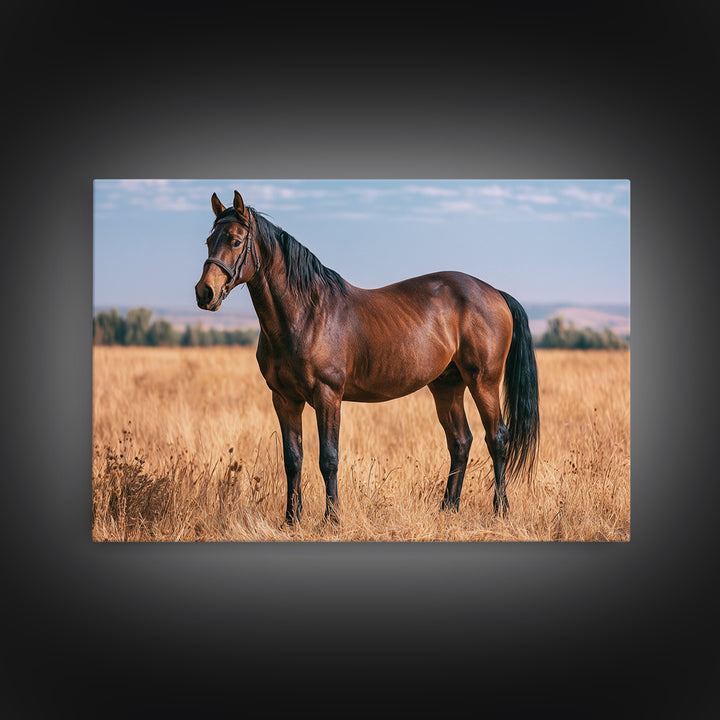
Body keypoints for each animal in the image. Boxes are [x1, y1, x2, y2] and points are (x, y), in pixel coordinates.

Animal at [195, 190, 539, 524]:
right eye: (209, 241)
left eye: (235, 241)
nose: (204, 293)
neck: (305, 314)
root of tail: (494, 293)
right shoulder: (284, 398)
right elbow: (293, 460)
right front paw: (291, 520)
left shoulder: (328, 396)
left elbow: (328, 458)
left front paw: (332, 520)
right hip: (447, 385)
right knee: (460, 442)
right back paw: (448, 509)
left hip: (484, 382)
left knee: (497, 439)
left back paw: (500, 511)